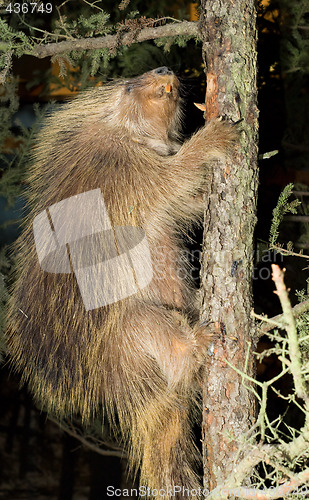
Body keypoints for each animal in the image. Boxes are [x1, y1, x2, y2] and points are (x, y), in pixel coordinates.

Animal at [6, 66, 237, 496]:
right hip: (127, 336)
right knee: (162, 337)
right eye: (130, 85)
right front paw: (215, 136)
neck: (131, 134)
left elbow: (186, 198)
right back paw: (197, 340)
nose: (164, 70)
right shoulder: (127, 168)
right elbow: (174, 177)